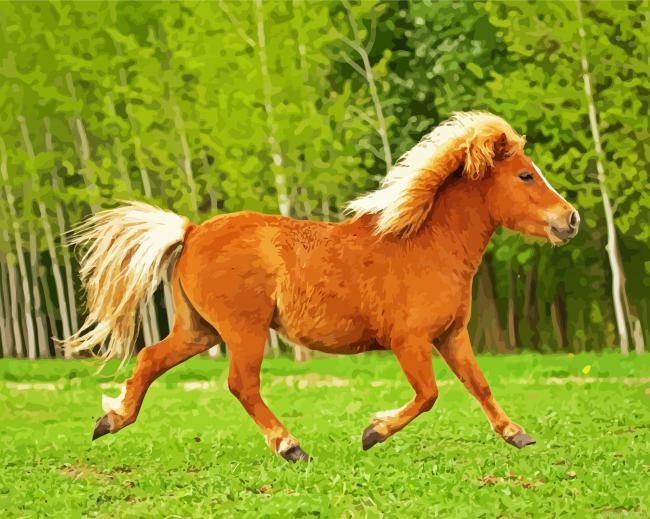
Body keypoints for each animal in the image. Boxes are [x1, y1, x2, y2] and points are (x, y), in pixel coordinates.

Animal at [64, 111, 580, 462]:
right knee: (241, 384)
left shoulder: (452, 335)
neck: (427, 245)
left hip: (199, 331)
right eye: (526, 175)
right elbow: (429, 394)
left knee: (151, 359)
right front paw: (373, 431)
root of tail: (190, 232)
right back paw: (290, 447)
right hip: (244, 331)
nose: (571, 219)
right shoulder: (409, 341)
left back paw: (110, 419)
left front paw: (516, 433)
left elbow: (479, 384)